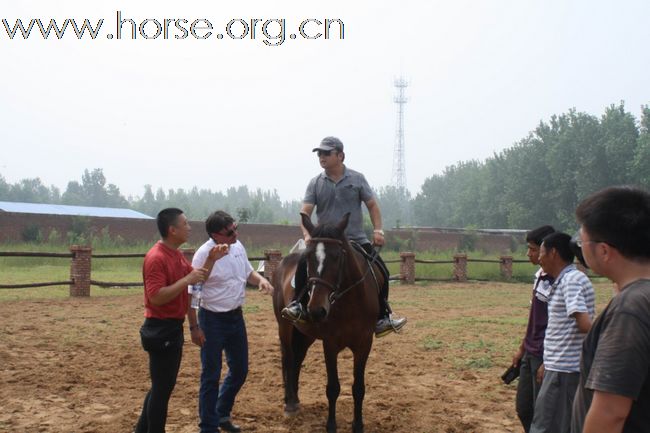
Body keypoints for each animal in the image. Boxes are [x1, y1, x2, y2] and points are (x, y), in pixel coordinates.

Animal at [270, 213, 380, 432]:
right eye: (308, 259)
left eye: (337, 257)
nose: (316, 310)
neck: (350, 302)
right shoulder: (330, 344)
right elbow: (333, 388)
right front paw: (331, 425)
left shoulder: (364, 344)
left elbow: (358, 387)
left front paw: (358, 424)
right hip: (285, 327)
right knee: (288, 358)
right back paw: (289, 403)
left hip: (305, 334)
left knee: (297, 359)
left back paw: (295, 400)